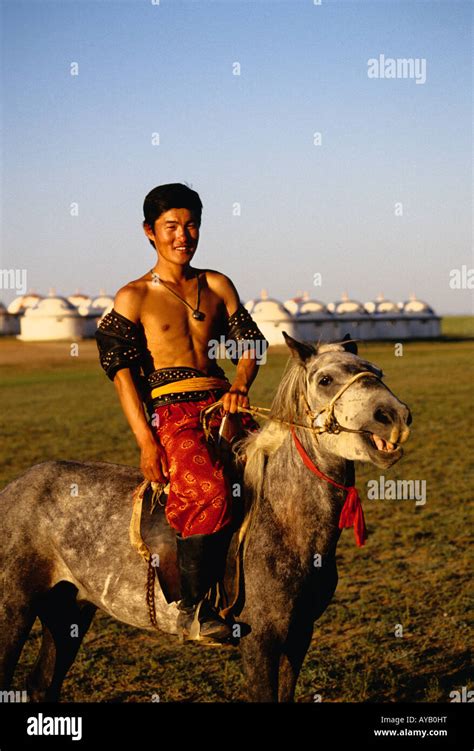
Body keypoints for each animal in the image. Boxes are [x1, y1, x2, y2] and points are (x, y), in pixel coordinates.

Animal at [0, 332, 412, 704]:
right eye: (325, 380)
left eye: (377, 371)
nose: (395, 416)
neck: (285, 521)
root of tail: (12, 489)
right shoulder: (260, 642)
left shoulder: (299, 636)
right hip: (13, 611)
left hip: (68, 610)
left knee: (41, 686)